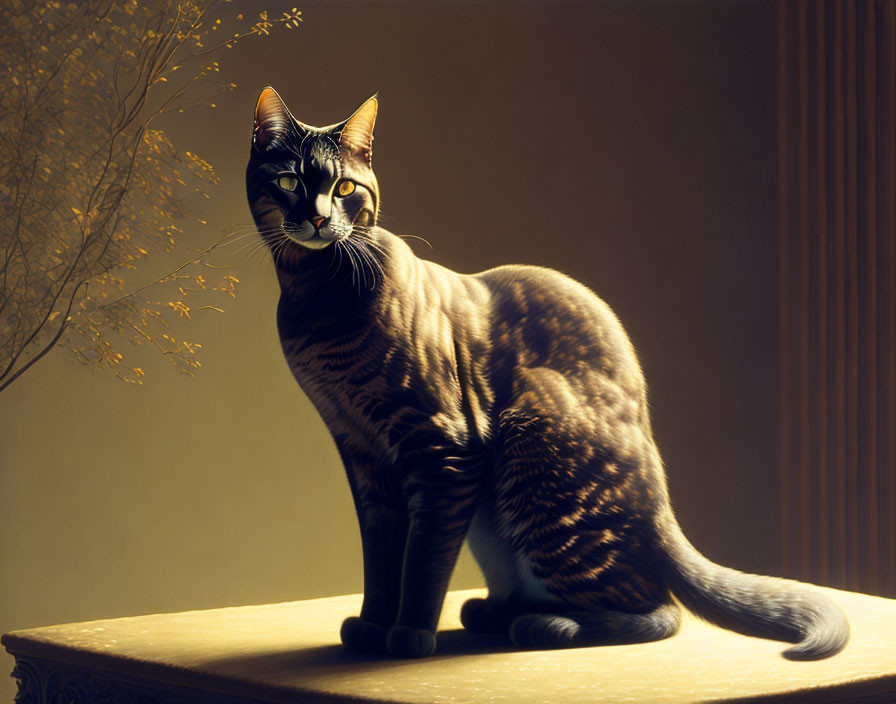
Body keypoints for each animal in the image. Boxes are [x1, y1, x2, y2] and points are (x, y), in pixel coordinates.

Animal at [243, 88, 848, 660]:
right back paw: (495, 612)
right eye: (290, 181)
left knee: (659, 612)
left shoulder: (444, 450)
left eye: (345, 187)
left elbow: (422, 561)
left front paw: (409, 634)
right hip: (492, 519)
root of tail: (663, 504)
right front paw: (371, 626)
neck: (315, 297)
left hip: (533, 445)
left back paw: (546, 624)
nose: (319, 216)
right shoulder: (362, 455)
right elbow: (382, 557)